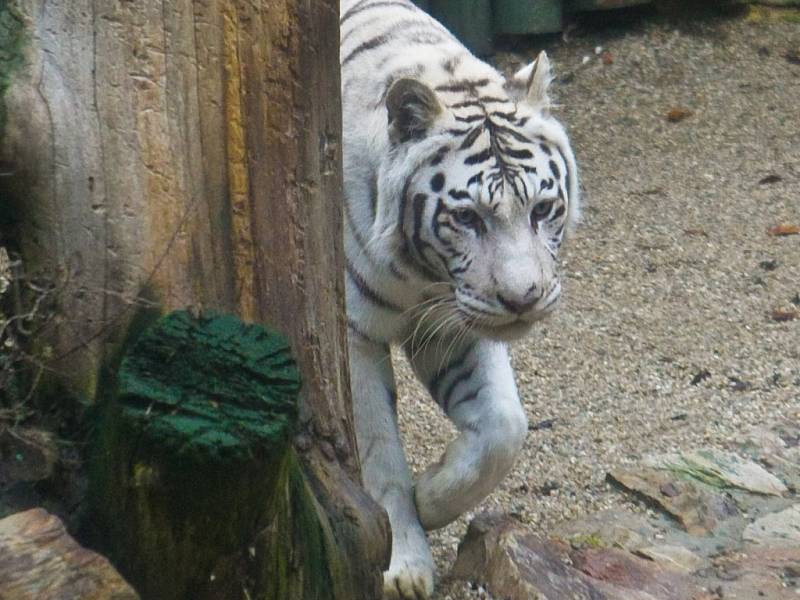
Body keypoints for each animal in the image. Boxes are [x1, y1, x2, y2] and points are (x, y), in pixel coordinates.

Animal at [340, 2, 580, 596]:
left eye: (542, 209)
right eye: (467, 217)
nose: (524, 298)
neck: (422, 276)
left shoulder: (452, 322)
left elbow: (502, 429)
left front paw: (430, 498)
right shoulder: (353, 333)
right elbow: (379, 455)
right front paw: (402, 564)